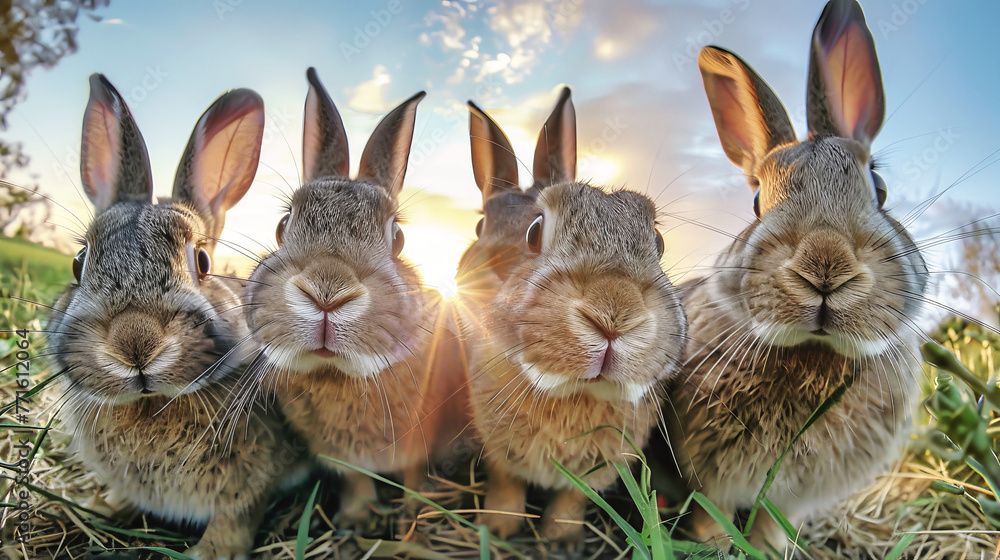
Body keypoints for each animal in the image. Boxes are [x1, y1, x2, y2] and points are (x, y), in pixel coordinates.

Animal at [46, 74, 294, 560]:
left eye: (202, 261)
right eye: (78, 263)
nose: (134, 342)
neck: (152, 403)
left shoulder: (250, 486)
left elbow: (237, 516)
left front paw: (211, 552)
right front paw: (102, 505)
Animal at [242, 68, 438, 528]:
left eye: (398, 238)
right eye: (282, 225)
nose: (327, 293)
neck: (335, 374)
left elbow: (414, 473)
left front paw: (414, 511)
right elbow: (356, 479)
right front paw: (358, 517)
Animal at [458, 86, 688, 544]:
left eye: (657, 241)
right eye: (534, 233)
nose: (614, 314)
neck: (574, 393)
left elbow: (574, 497)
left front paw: (560, 538)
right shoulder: (497, 448)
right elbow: (506, 482)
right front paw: (499, 527)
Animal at [676, 0, 932, 552]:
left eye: (879, 187)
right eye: (756, 201)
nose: (824, 268)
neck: (816, 353)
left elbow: (771, 523)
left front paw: (769, 550)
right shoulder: (708, 474)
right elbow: (711, 514)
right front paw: (716, 547)